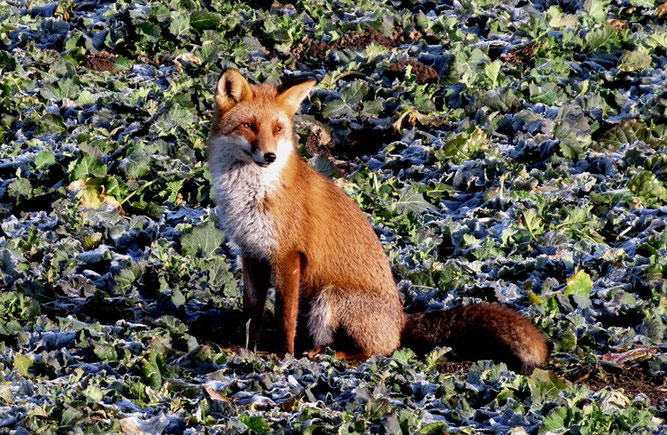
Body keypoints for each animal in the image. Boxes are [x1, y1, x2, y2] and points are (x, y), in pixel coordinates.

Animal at [207, 70, 548, 372]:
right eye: (249, 125)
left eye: (277, 128)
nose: (269, 156)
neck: (251, 194)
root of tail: (401, 320)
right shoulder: (251, 253)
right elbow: (252, 312)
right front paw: (247, 348)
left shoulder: (288, 255)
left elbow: (284, 318)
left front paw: (284, 356)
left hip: (330, 298)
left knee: (380, 350)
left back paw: (333, 354)